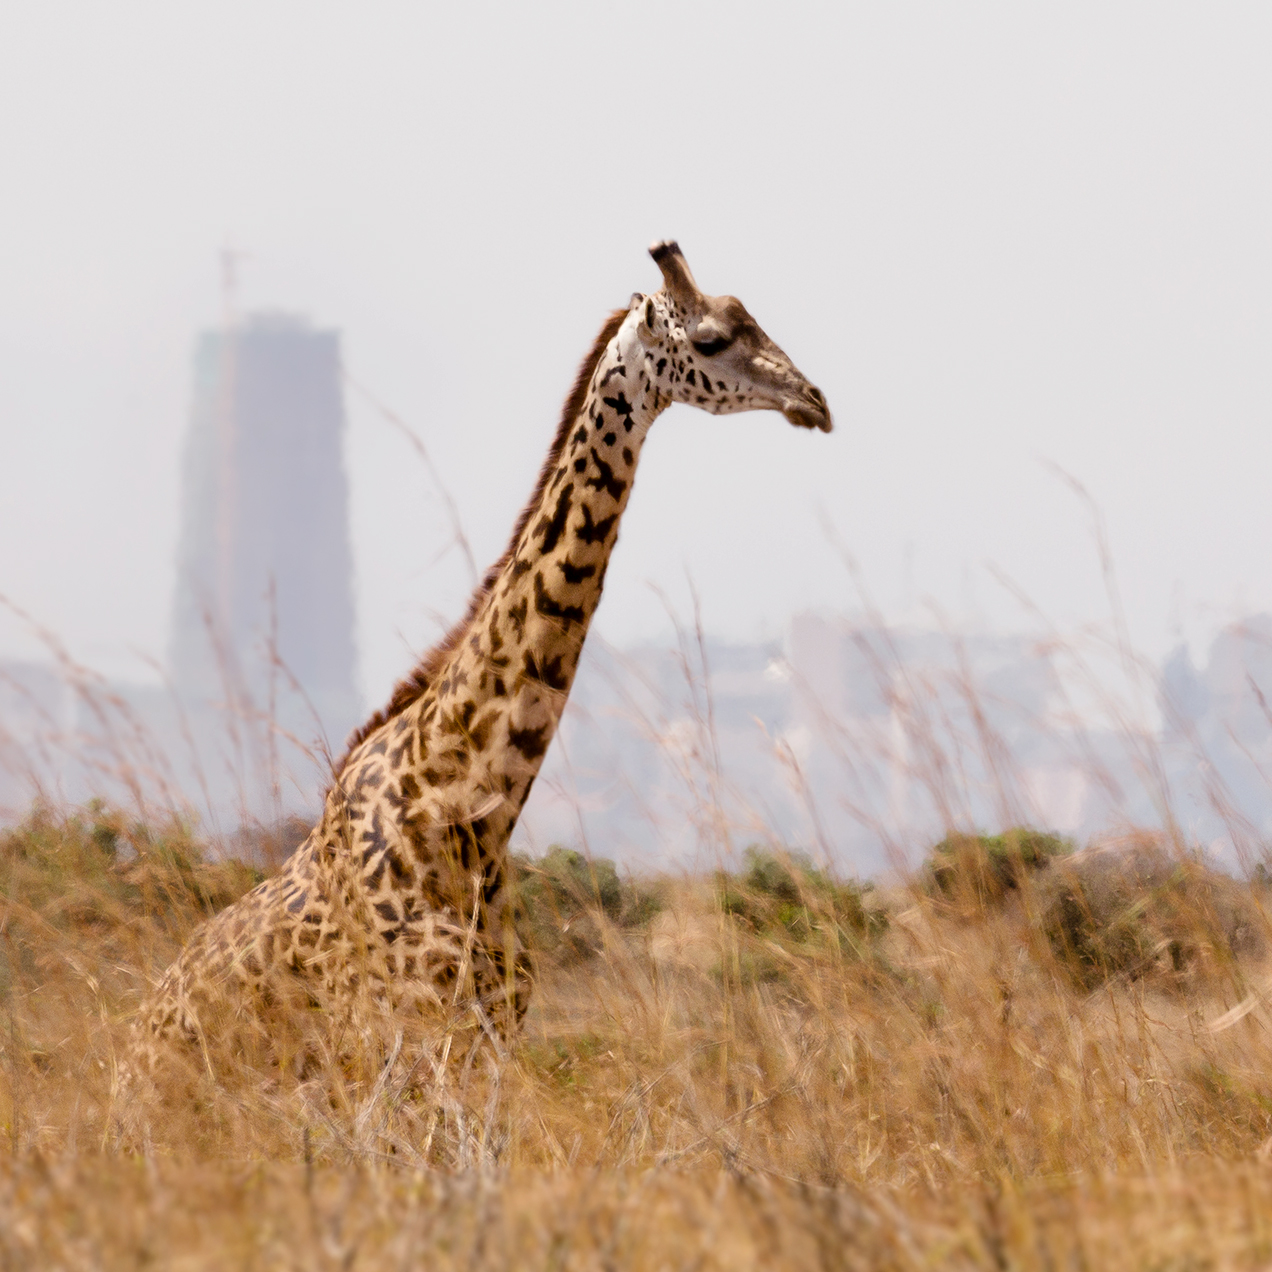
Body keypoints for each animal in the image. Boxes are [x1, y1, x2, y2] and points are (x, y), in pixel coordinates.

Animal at [134, 242, 829, 1078]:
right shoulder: (397, 1038)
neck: (465, 810)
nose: (815, 401)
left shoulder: (488, 1044)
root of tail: (134, 1033)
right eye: (712, 338)